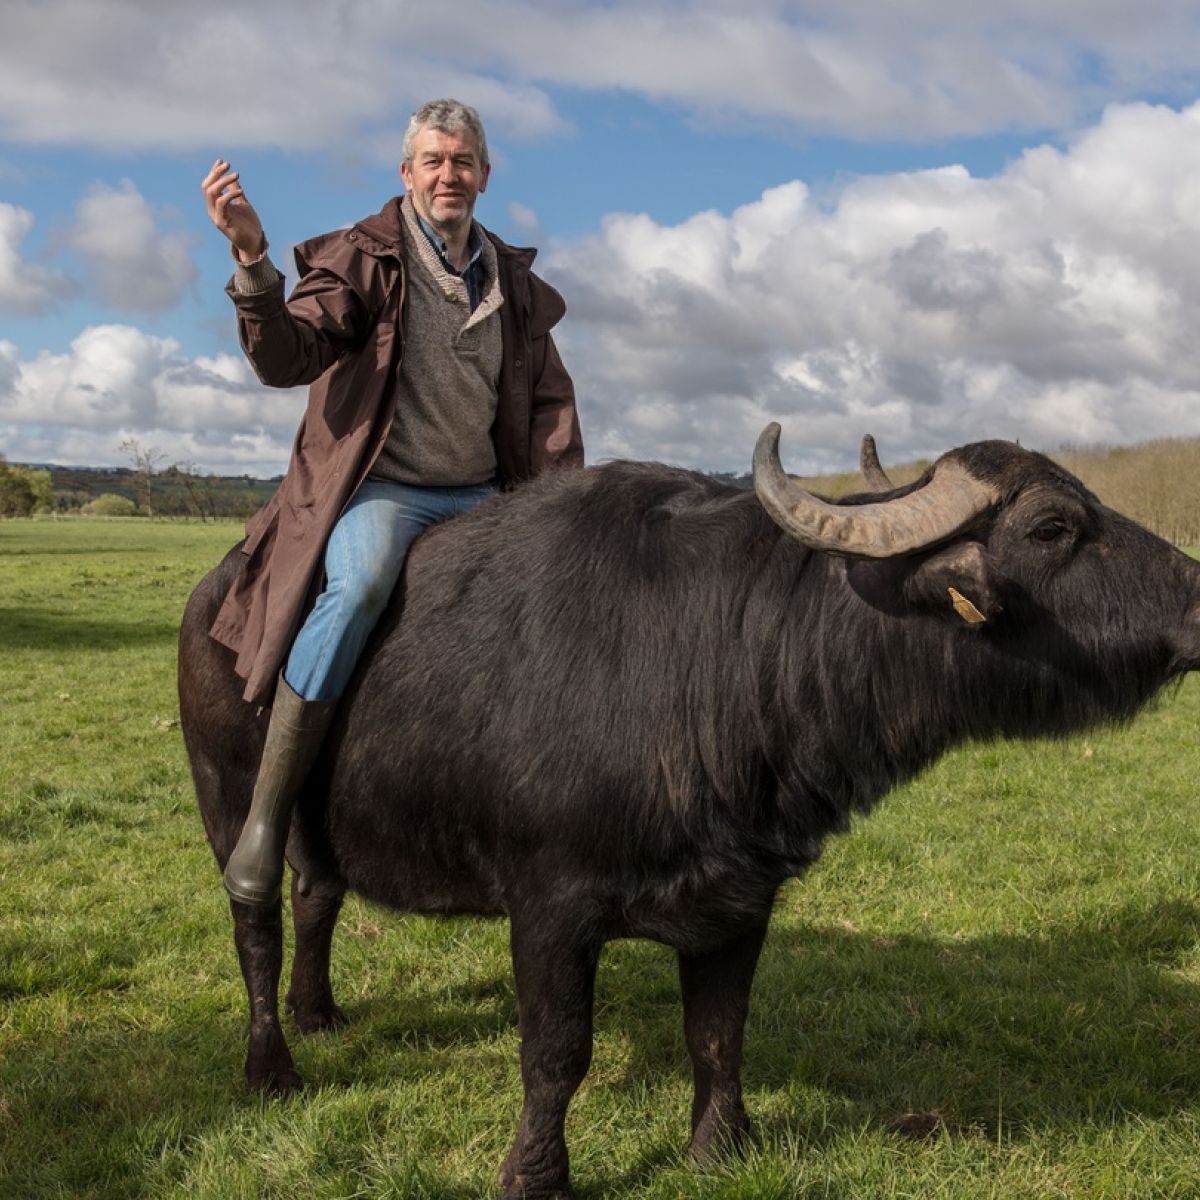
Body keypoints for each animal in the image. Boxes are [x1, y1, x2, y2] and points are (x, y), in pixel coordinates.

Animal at [175, 427, 1200, 1195]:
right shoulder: (548, 911)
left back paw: (319, 1012)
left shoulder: (740, 902)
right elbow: (557, 1054)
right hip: (229, 801)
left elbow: (718, 1031)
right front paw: (535, 1176)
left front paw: (722, 1148)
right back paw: (272, 1063)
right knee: (256, 915)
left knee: (317, 895)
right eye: (1056, 526)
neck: (716, 657)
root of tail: (211, 598)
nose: (1197, 604)